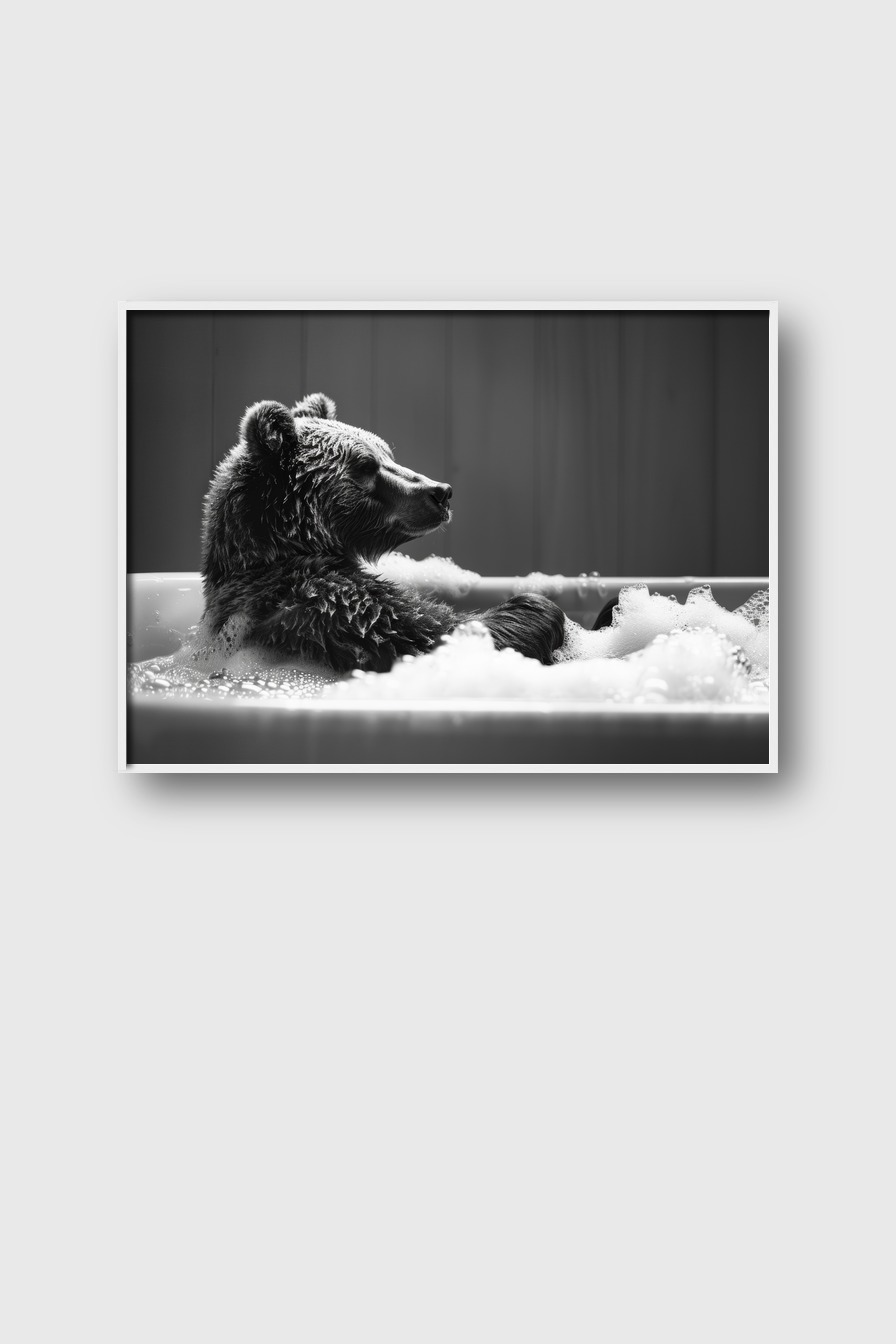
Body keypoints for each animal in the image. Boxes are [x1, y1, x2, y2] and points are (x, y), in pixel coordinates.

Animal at [200, 392, 566, 674]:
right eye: (364, 466)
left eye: (388, 454)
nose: (441, 492)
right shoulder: (327, 605)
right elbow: (427, 633)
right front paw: (534, 608)